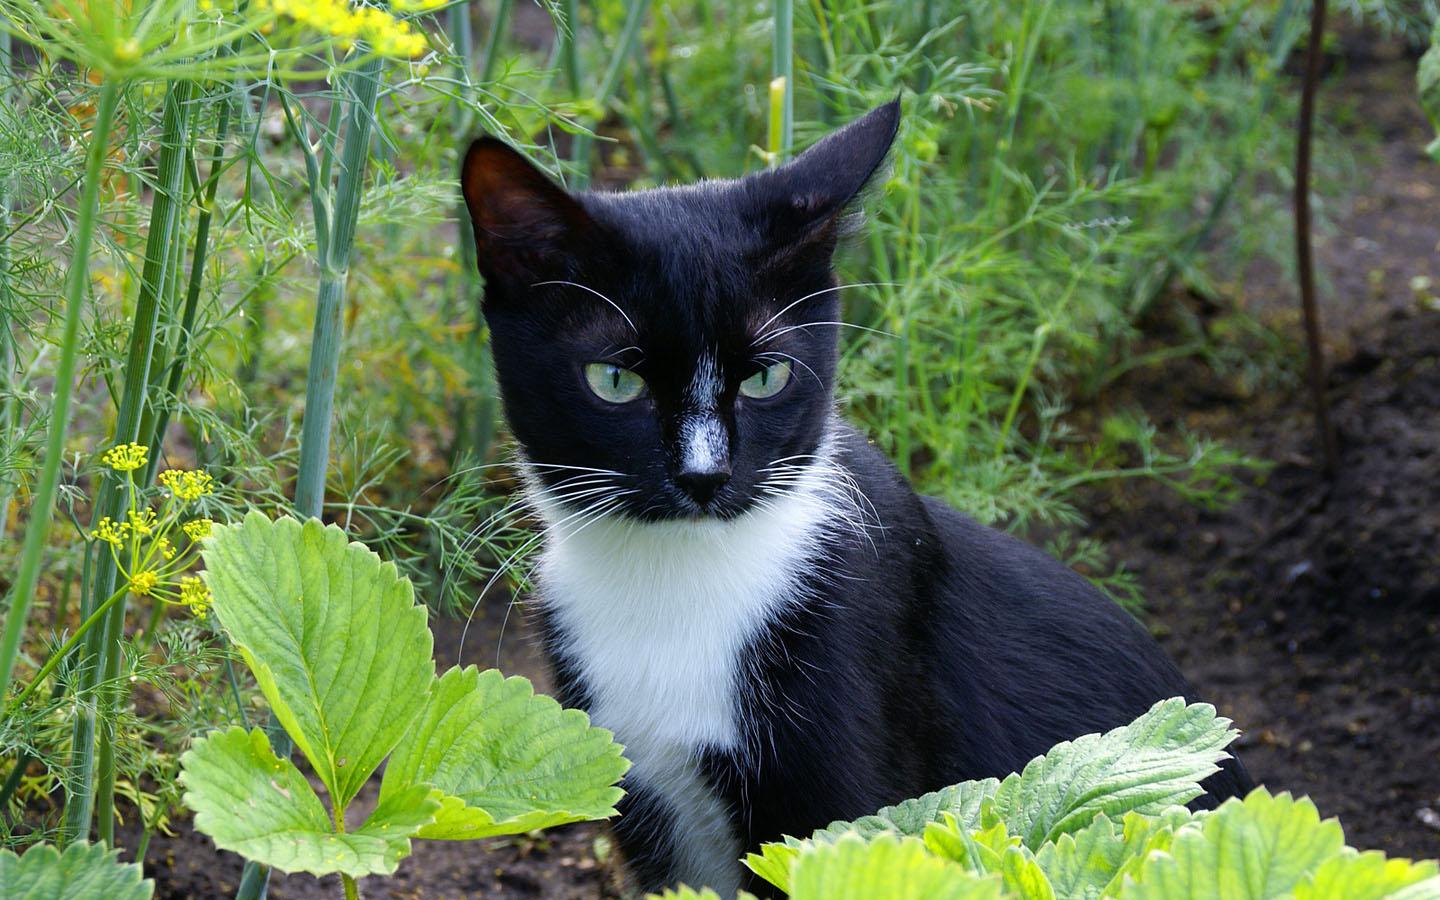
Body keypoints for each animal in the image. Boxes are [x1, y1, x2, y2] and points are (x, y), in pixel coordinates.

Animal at [460, 101, 1249, 892]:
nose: (705, 476)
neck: (674, 580)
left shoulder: (848, 786)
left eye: (768, 376)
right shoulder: (632, 780)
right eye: (615, 382)